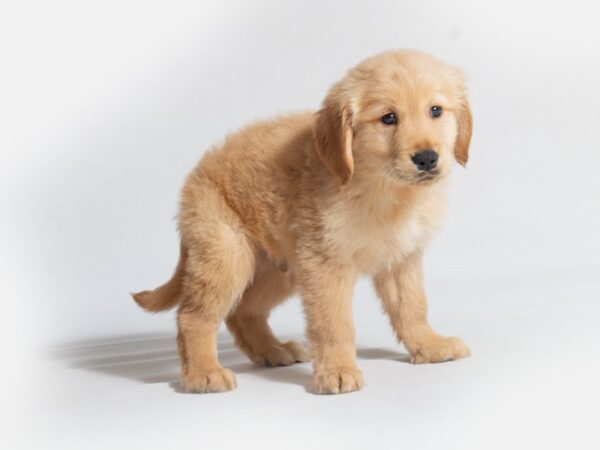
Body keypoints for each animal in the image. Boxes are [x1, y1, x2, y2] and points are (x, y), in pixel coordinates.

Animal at [132, 48, 474, 394]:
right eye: (388, 118)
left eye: (435, 110)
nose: (427, 158)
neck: (383, 187)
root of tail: (196, 173)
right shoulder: (325, 263)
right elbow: (334, 323)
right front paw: (337, 370)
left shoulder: (402, 259)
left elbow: (412, 307)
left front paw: (429, 345)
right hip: (226, 257)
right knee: (193, 316)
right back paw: (203, 372)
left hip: (277, 269)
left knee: (243, 312)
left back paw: (272, 351)